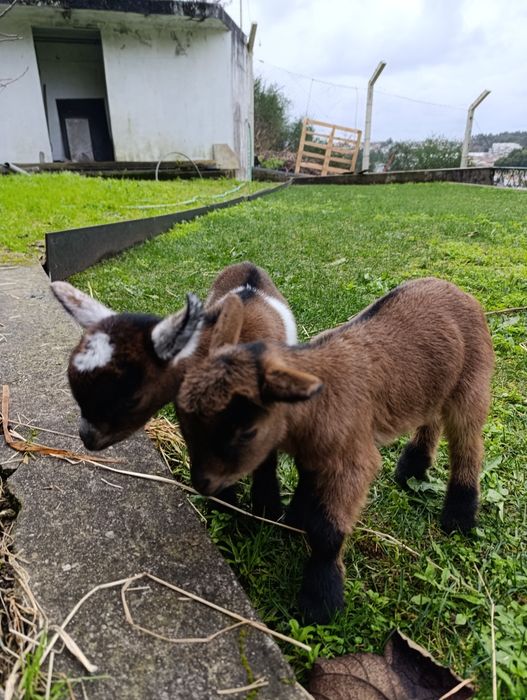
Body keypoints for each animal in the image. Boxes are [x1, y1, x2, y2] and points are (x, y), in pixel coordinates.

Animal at [175, 277, 495, 624]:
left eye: (246, 431)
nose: (203, 483)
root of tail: (457, 291)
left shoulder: (353, 459)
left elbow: (326, 531)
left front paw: (321, 600)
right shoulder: (315, 452)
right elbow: (308, 485)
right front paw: (293, 522)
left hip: (472, 382)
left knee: (467, 443)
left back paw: (459, 516)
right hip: (434, 386)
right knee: (432, 418)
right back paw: (413, 469)